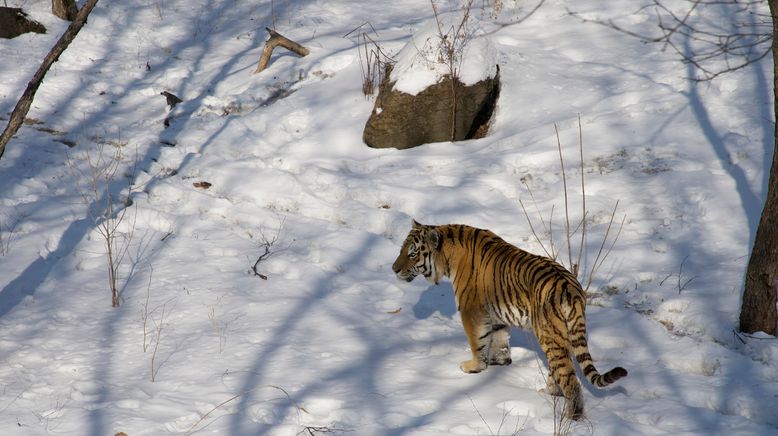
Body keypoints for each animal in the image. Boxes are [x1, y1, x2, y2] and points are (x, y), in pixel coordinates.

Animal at [392, 220, 628, 420]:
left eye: (412, 253)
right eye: (402, 249)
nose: (394, 269)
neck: (448, 257)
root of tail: (572, 288)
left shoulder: (471, 311)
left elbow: (477, 341)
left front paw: (474, 367)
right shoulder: (495, 313)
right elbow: (498, 338)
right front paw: (500, 360)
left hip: (549, 335)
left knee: (571, 380)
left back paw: (572, 417)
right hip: (563, 335)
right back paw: (548, 392)